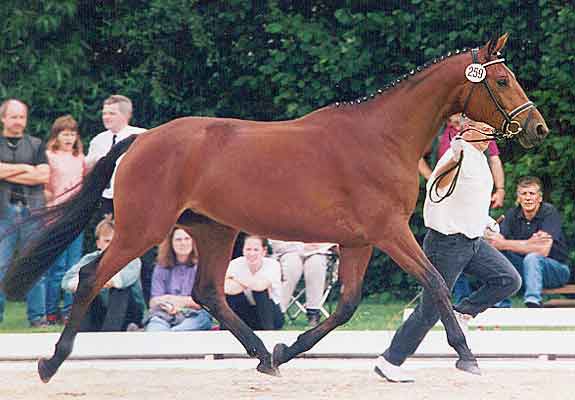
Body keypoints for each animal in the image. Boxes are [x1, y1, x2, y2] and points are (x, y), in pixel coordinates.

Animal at [2, 32, 548, 382]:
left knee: (206, 292)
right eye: (502, 81)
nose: (538, 127)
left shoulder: (358, 241)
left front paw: (289, 349)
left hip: (213, 230)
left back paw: (264, 354)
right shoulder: (390, 231)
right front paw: (467, 356)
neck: (382, 136)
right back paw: (51, 363)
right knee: (92, 278)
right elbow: (435, 282)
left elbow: (345, 306)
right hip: (143, 228)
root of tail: (139, 139)